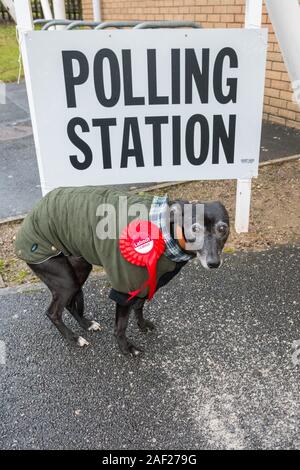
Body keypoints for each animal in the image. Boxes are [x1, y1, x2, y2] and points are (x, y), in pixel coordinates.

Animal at [19, 191, 229, 356]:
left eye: (223, 229)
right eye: (194, 228)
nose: (213, 263)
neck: (165, 231)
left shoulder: (145, 282)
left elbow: (139, 306)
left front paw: (142, 326)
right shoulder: (125, 285)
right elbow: (120, 326)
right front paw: (126, 349)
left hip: (78, 269)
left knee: (70, 304)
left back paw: (87, 324)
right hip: (63, 279)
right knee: (53, 313)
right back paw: (74, 338)